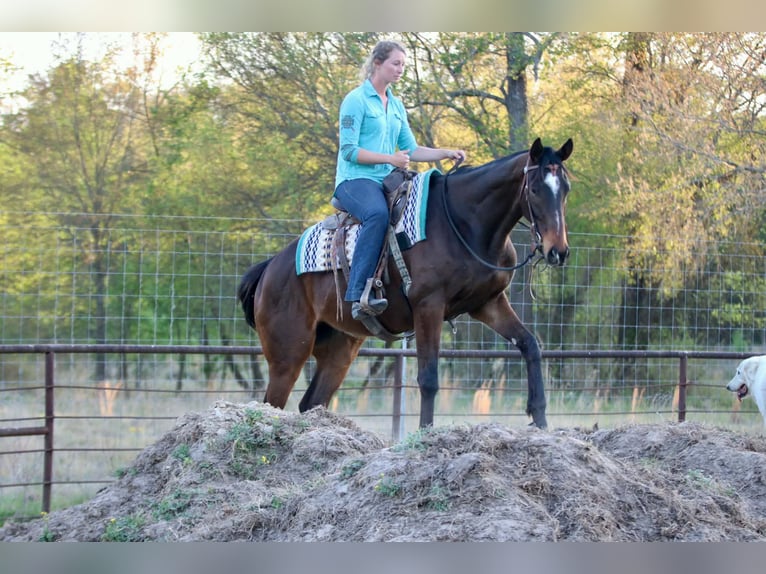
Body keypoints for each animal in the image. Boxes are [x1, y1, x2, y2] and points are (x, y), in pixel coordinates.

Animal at [238, 137, 573, 430]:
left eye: (566, 188)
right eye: (534, 189)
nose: (558, 251)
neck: (464, 224)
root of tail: (269, 269)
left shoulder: (488, 303)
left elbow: (530, 345)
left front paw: (540, 420)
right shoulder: (429, 306)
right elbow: (428, 378)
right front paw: (425, 432)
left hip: (339, 351)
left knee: (311, 402)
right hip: (288, 354)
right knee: (271, 402)